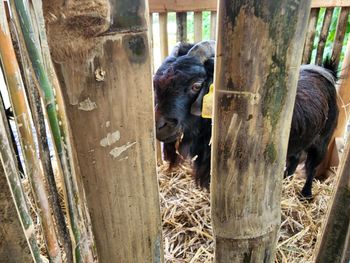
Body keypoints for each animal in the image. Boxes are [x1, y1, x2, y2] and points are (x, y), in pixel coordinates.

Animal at [154, 40, 340, 198]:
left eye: (197, 85)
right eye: (156, 84)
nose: (160, 126)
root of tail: (326, 72)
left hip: (323, 140)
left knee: (312, 166)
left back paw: (306, 194)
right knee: (294, 159)